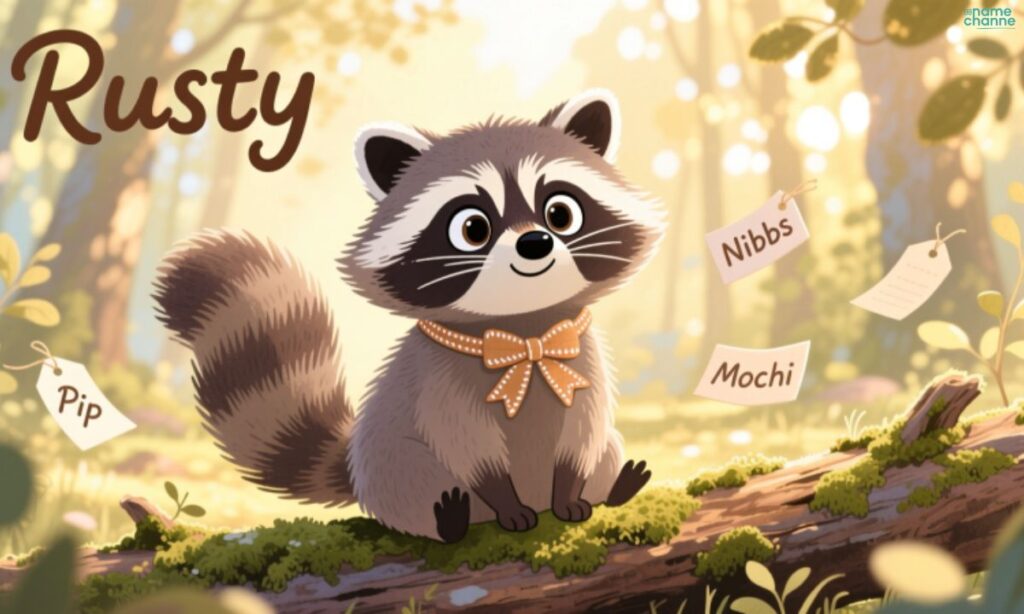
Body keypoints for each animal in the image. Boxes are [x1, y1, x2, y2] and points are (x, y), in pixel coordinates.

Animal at [154, 89, 665, 542]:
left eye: (560, 212)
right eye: (473, 227)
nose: (534, 243)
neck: (525, 337)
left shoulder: (580, 355)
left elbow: (584, 429)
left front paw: (572, 490)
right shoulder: (438, 381)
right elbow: (465, 443)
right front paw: (503, 499)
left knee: (606, 445)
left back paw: (612, 485)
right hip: (391, 466)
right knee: (418, 480)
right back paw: (451, 521)